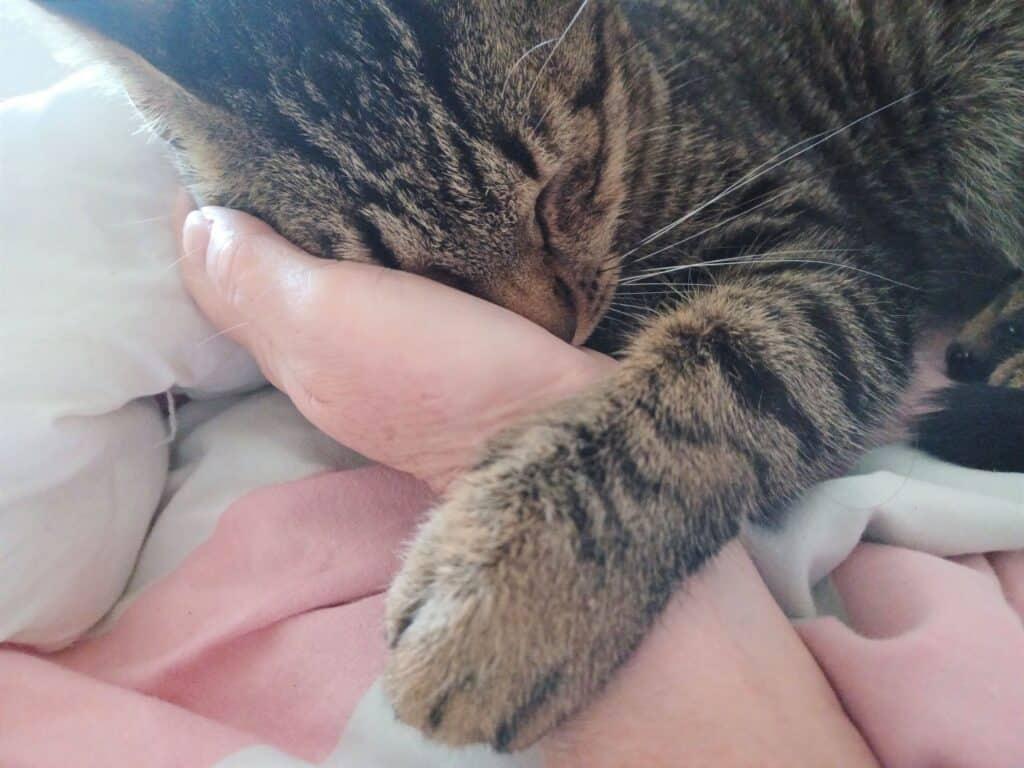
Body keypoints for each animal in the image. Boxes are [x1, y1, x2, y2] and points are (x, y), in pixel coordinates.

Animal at [32, 0, 1024, 753]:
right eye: (416, 274)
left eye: (563, 185)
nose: (555, 330)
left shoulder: (821, 252)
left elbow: (724, 383)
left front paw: (511, 595)